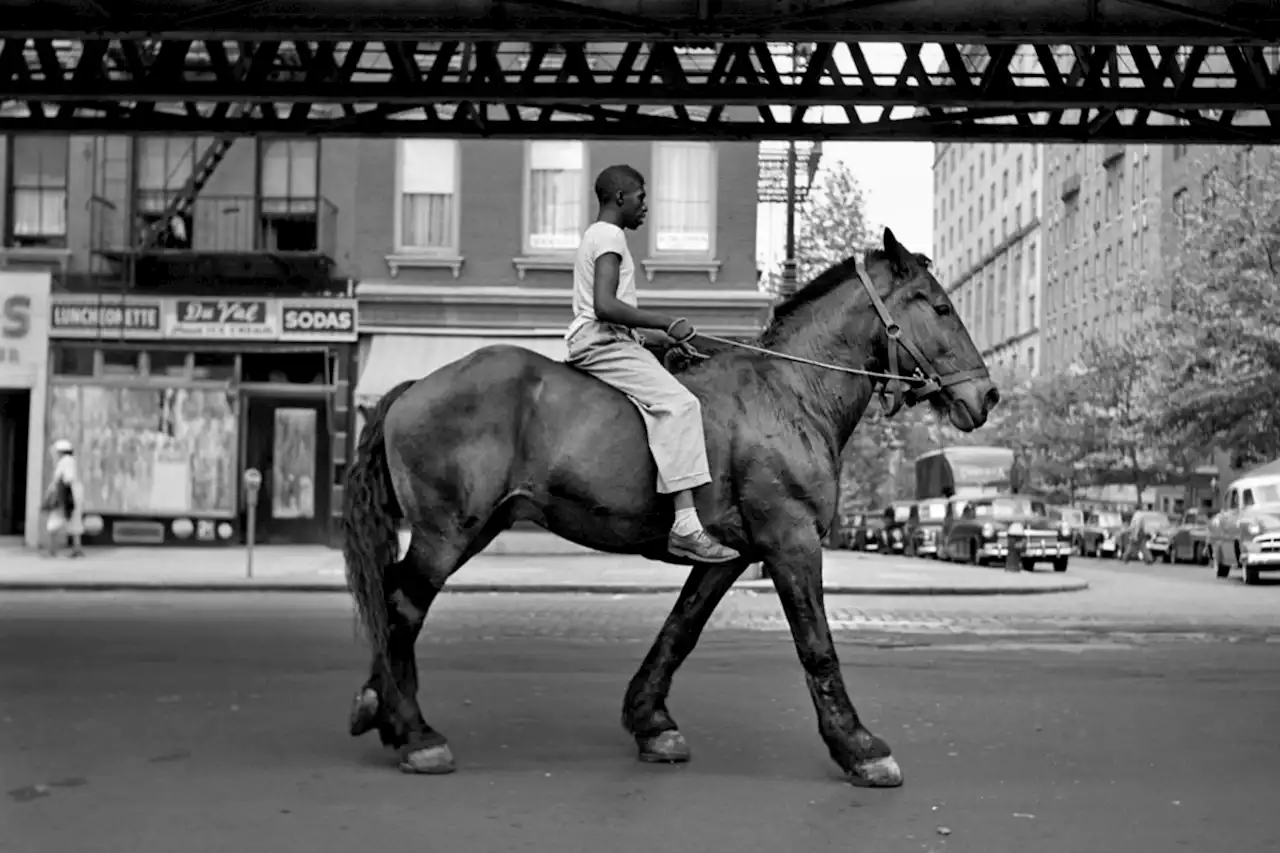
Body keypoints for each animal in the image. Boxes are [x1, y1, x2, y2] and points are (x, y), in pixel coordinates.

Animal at [343, 229, 998, 788]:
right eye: (939, 306)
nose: (986, 394)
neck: (790, 392)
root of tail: (416, 386)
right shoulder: (792, 542)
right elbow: (816, 645)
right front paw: (859, 747)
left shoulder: (729, 556)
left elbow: (680, 630)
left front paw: (650, 721)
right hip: (448, 532)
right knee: (401, 604)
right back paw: (415, 731)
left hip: (475, 527)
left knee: (393, 595)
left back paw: (379, 706)